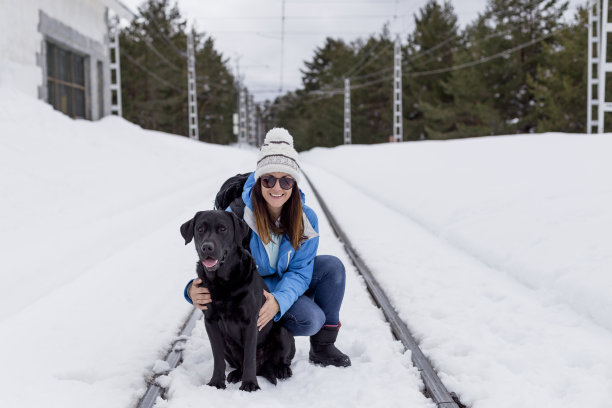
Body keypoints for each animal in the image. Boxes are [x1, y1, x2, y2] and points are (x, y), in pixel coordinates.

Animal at [180, 210, 296, 392]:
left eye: (222, 229)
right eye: (200, 229)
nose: (207, 247)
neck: (222, 282)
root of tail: (263, 367)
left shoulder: (251, 321)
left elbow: (249, 356)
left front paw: (250, 384)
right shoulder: (210, 322)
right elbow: (218, 356)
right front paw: (216, 382)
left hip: (282, 332)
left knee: (280, 359)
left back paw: (282, 369)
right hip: (228, 344)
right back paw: (235, 374)